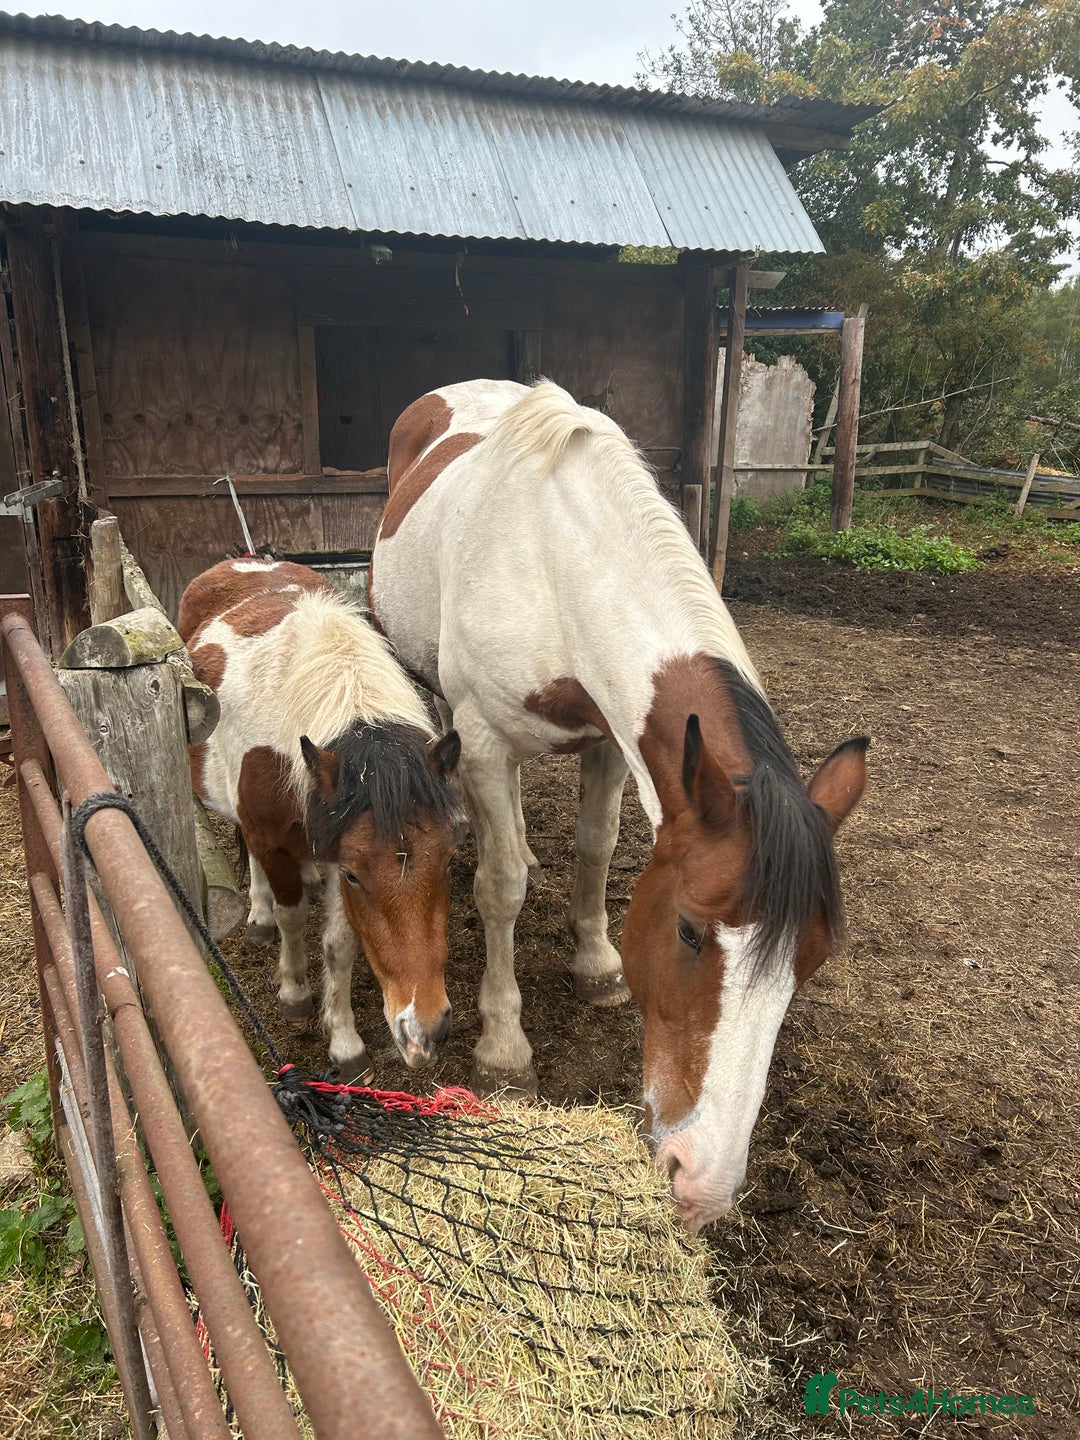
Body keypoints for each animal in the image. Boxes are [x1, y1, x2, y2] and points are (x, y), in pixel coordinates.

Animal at [178, 558, 462, 1082]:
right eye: (355, 875)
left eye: (450, 861)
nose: (424, 1030)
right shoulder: (278, 841)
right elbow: (291, 917)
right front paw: (294, 993)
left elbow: (339, 945)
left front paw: (345, 1043)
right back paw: (259, 914)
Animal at [369, 379, 868, 1232]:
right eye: (690, 932)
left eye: (813, 958)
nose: (701, 1184)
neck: (555, 559)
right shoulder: (486, 739)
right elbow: (500, 890)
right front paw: (504, 1047)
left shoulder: (609, 736)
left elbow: (598, 846)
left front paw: (597, 964)